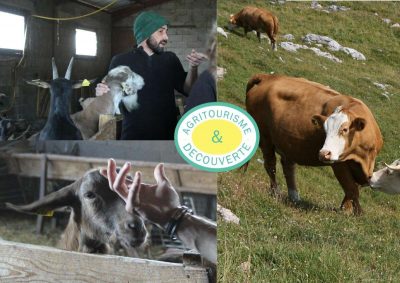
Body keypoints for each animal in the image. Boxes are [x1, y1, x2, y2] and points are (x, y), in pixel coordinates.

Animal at [245, 74, 382, 215]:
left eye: (345, 129)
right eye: (324, 130)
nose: (323, 153)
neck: (363, 158)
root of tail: (269, 77)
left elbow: (353, 188)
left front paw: (347, 209)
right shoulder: (338, 164)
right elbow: (351, 188)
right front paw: (353, 213)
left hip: (287, 143)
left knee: (288, 168)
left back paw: (294, 196)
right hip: (265, 138)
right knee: (270, 165)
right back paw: (276, 192)